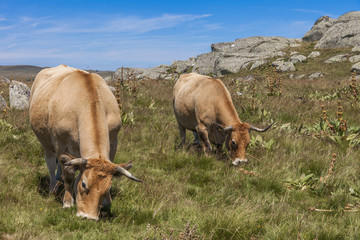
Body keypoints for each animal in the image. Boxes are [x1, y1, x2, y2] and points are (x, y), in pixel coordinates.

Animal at [29, 64, 142, 220]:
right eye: (84, 185)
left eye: (107, 187)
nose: (89, 217)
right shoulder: (60, 143)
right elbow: (68, 176)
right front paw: (68, 202)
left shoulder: (113, 141)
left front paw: (106, 202)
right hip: (46, 142)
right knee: (51, 164)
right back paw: (53, 188)